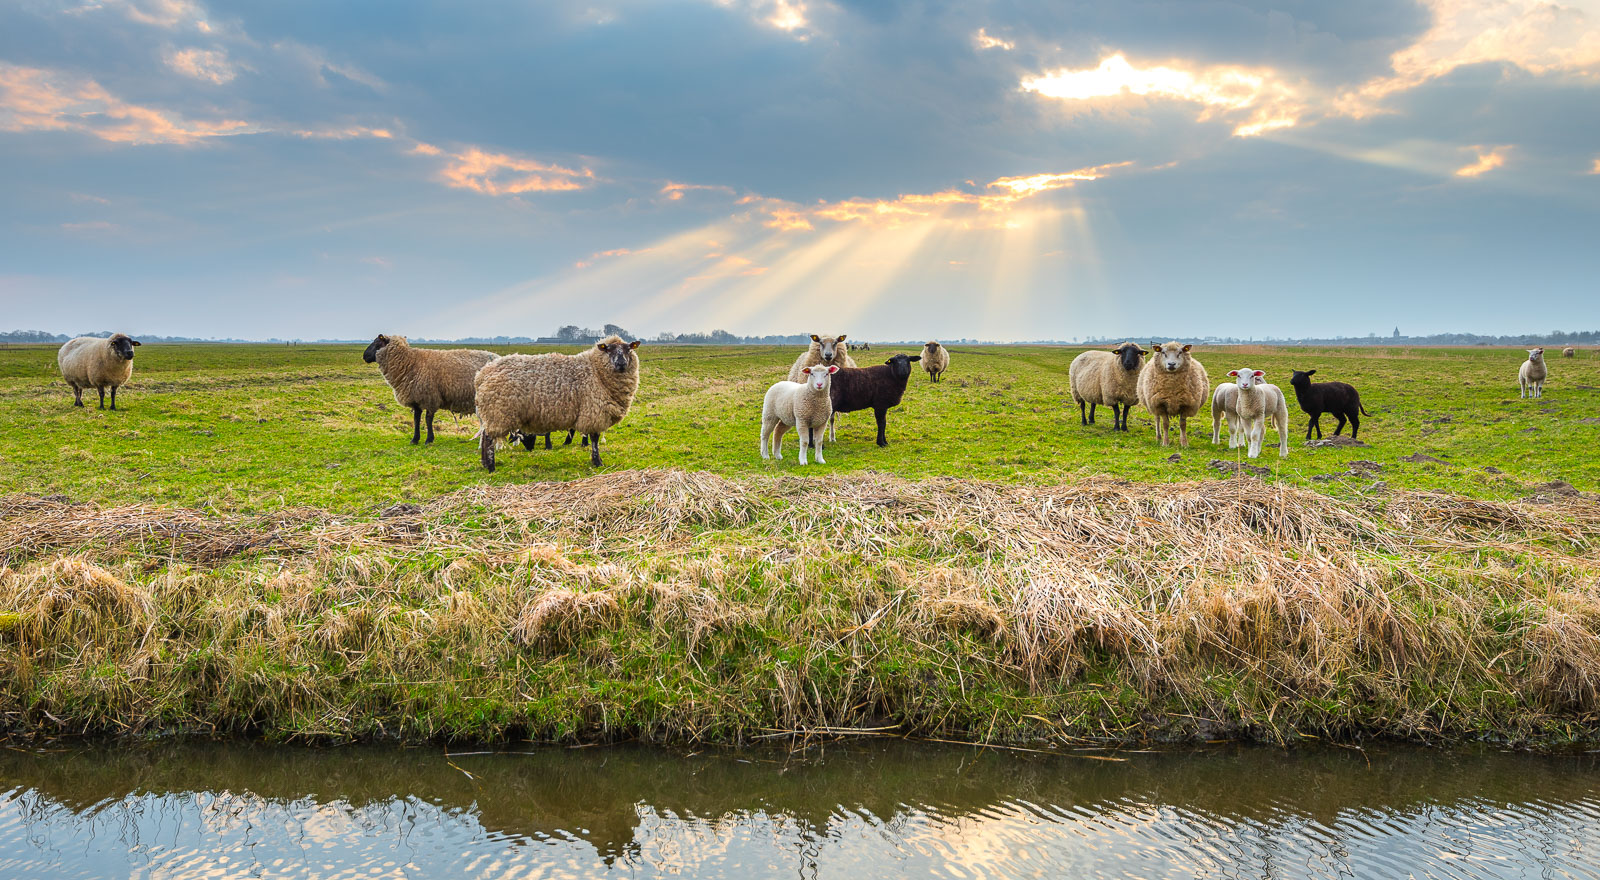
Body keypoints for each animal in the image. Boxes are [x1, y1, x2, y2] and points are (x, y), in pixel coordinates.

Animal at [364, 337, 499, 448]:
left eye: (377, 343)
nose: (364, 356)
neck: (410, 362)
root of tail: (498, 357)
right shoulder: (416, 399)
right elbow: (416, 419)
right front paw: (415, 439)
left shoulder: (430, 397)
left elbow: (428, 419)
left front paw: (429, 440)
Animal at [470, 334, 640, 473]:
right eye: (609, 350)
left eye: (628, 349)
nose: (621, 363)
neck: (596, 371)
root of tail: (481, 375)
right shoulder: (594, 412)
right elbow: (594, 439)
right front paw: (597, 462)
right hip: (497, 413)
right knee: (488, 439)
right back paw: (491, 467)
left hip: (491, 414)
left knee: (484, 436)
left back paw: (484, 464)